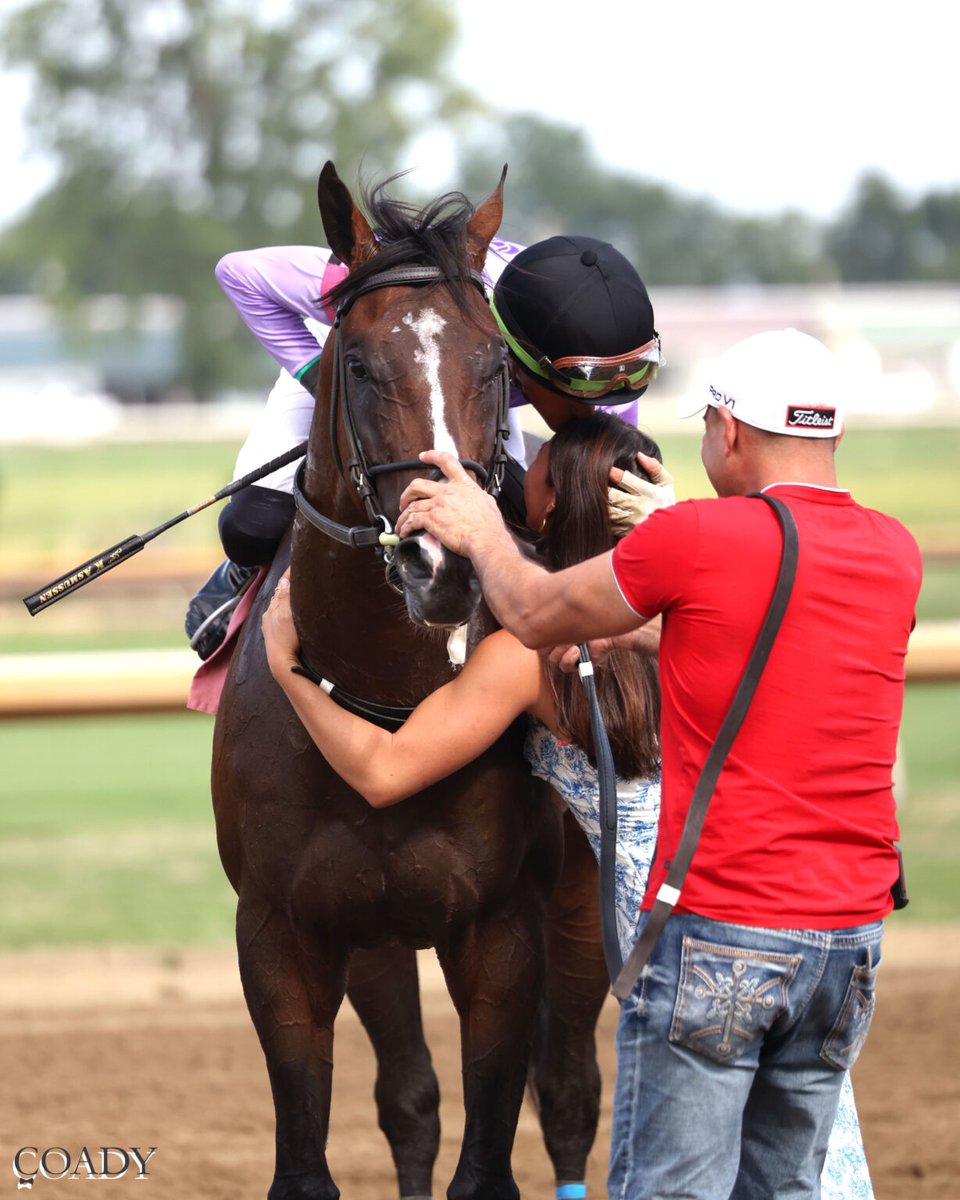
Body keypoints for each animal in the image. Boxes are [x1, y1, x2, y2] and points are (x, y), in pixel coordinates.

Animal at [211, 163, 611, 1200]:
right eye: (355, 364)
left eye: (495, 363)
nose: (444, 564)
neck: (387, 705)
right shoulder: (285, 931)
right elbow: (322, 1151)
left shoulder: (502, 931)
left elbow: (493, 1149)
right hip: (380, 939)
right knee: (412, 1102)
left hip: (582, 900)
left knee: (570, 1092)